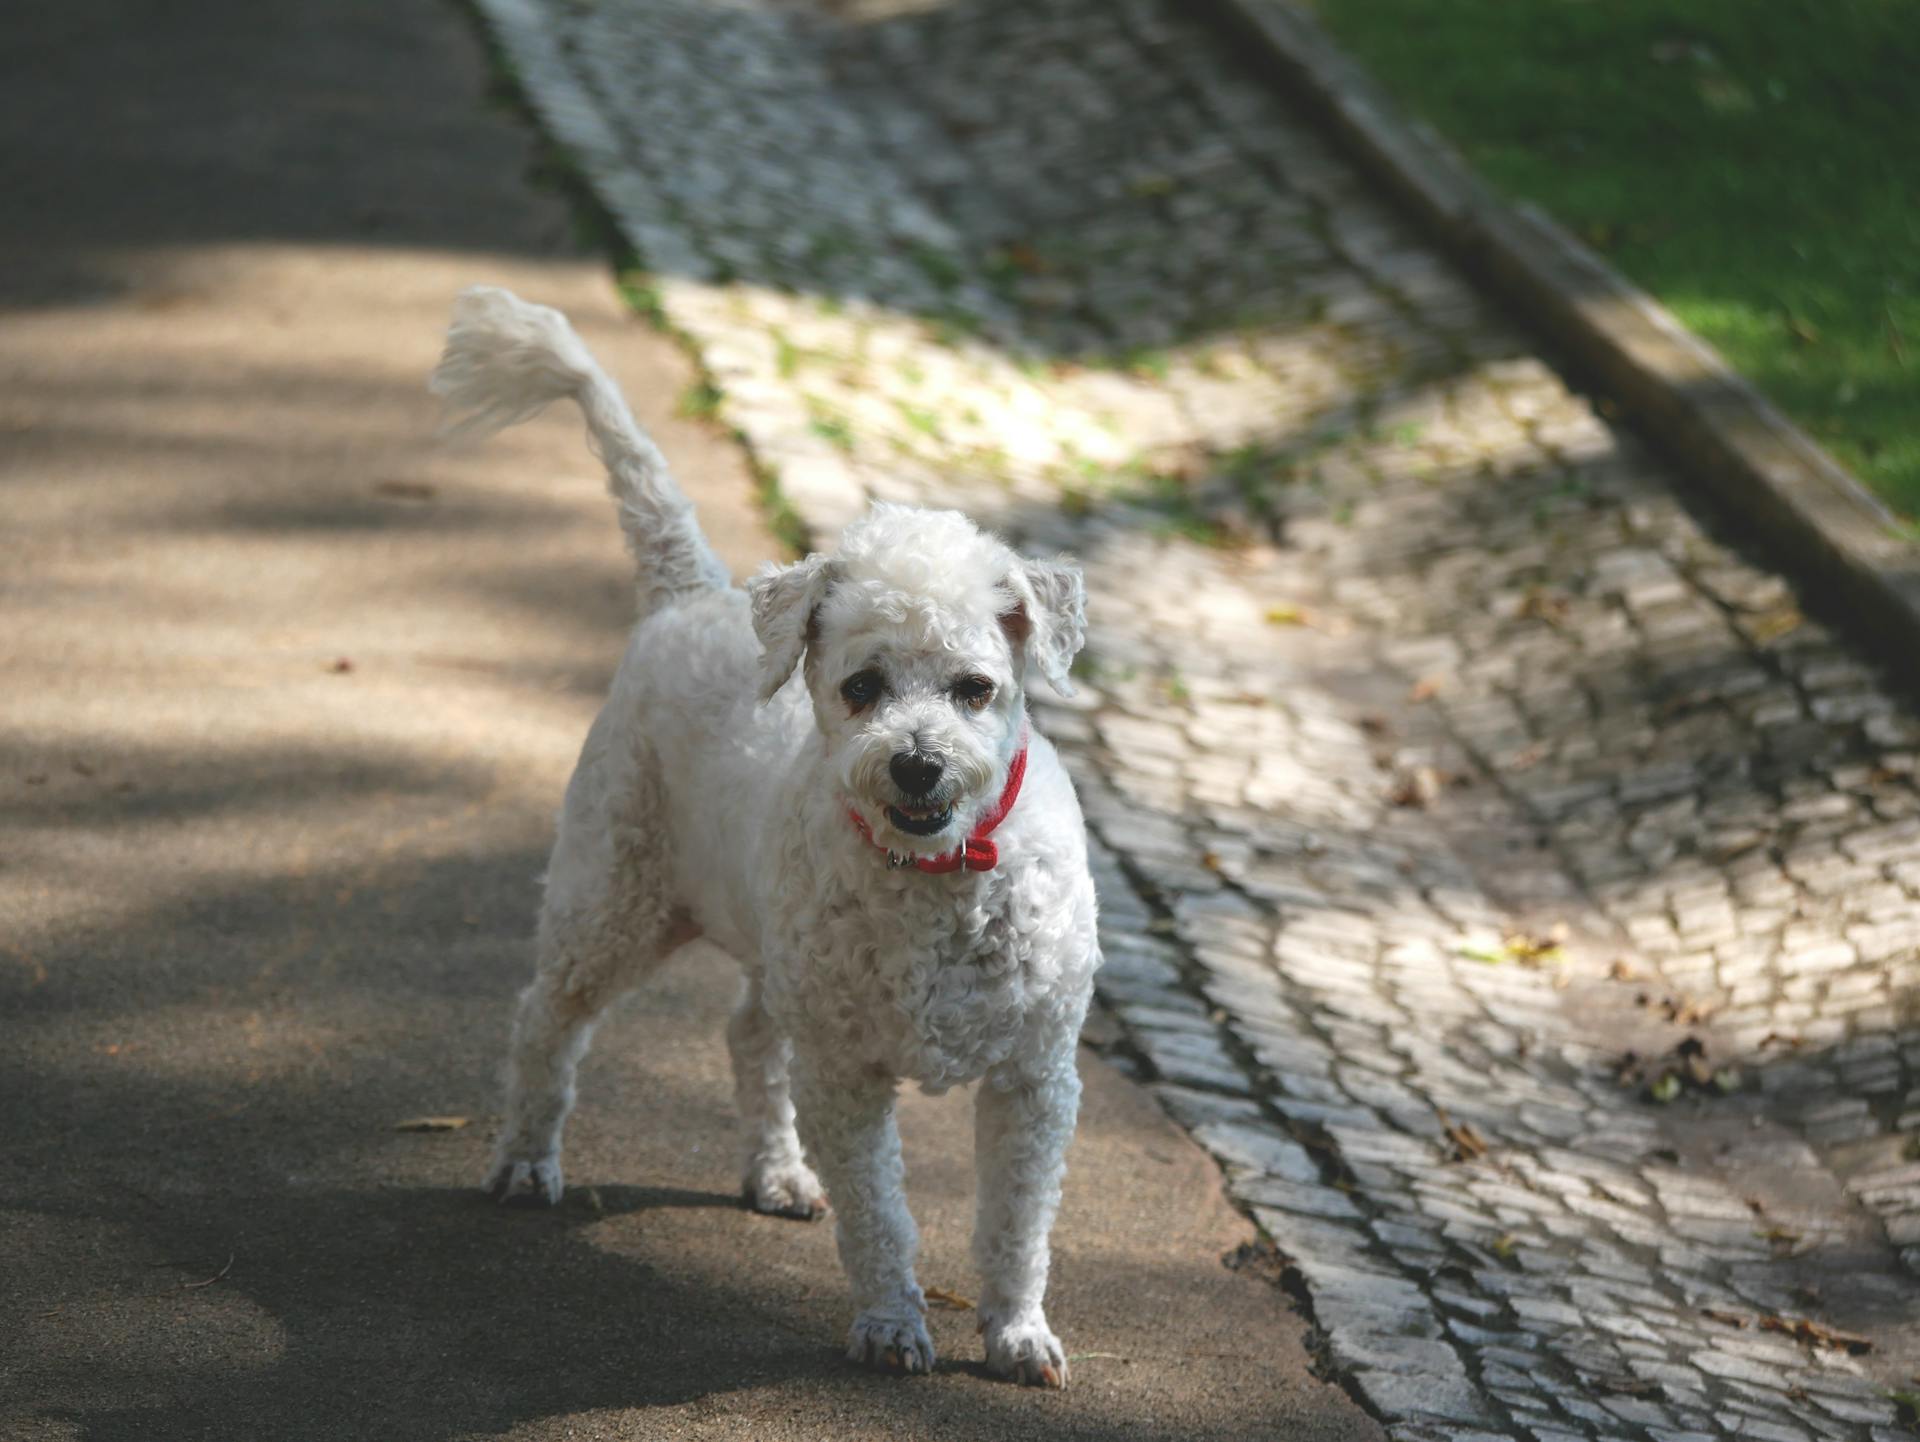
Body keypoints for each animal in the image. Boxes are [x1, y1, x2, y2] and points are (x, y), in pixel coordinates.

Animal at [433, 289, 1098, 1390]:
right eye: (862, 686)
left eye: (975, 687)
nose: (916, 766)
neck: (939, 876)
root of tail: (689, 591)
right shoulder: (847, 1073)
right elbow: (881, 1216)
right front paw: (891, 1324)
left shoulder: (1033, 1080)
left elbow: (1016, 1221)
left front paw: (1016, 1332)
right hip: (614, 901)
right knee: (547, 1016)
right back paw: (527, 1158)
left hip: (769, 951)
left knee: (748, 1033)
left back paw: (778, 1173)